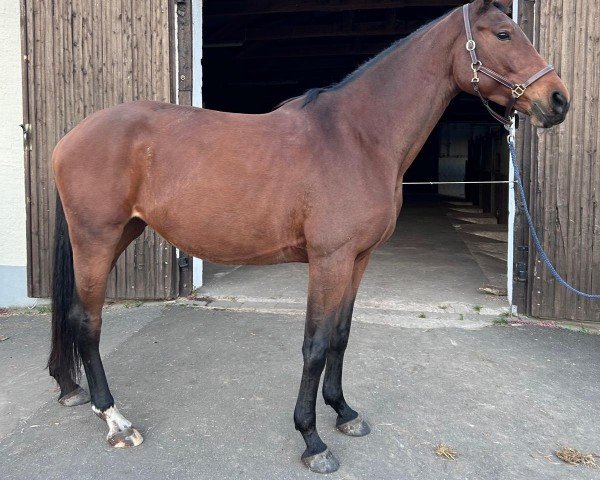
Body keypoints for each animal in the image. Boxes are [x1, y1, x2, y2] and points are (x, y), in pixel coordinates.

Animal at [48, 0, 568, 472]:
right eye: (503, 34)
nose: (558, 100)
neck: (358, 138)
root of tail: (70, 137)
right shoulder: (329, 260)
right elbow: (315, 346)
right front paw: (312, 440)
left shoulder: (357, 260)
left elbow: (340, 335)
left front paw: (344, 412)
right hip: (97, 240)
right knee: (87, 320)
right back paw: (115, 420)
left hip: (119, 234)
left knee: (73, 315)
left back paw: (71, 389)